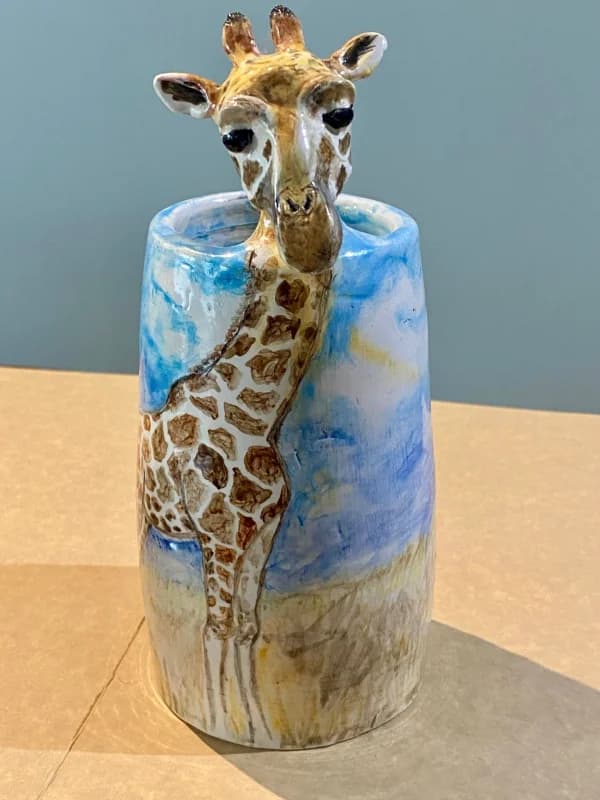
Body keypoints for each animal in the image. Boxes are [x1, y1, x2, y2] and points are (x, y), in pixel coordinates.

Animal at [141, 6, 387, 743]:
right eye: (234, 134)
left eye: (341, 111)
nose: (308, 231)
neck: (256, 416)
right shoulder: (218, 535)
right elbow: (216, 629)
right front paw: (229, 725)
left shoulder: (264, 533)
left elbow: (248, 629)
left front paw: (258, 729)